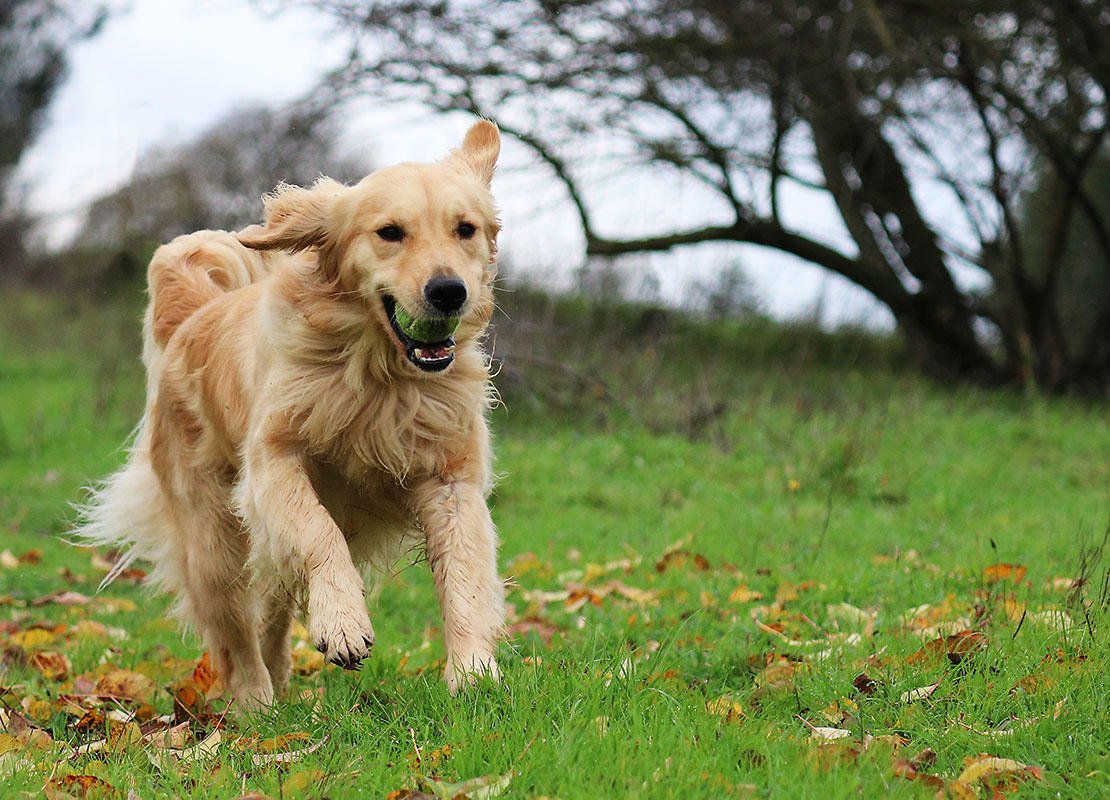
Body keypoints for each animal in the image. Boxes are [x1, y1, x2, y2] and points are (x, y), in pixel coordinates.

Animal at [80, 118, 506, 705]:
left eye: (465, 229)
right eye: (390, 232)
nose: (448, 291)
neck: (379, 376)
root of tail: (191, 317)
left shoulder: (450, 478)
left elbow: (464, 573)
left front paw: (472, 673)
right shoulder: (273, 463)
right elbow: (319, 531)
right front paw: (343, 623)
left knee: (272, 611)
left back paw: (281, 682)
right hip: (213, 539)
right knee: (235, 634)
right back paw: (257, 705)